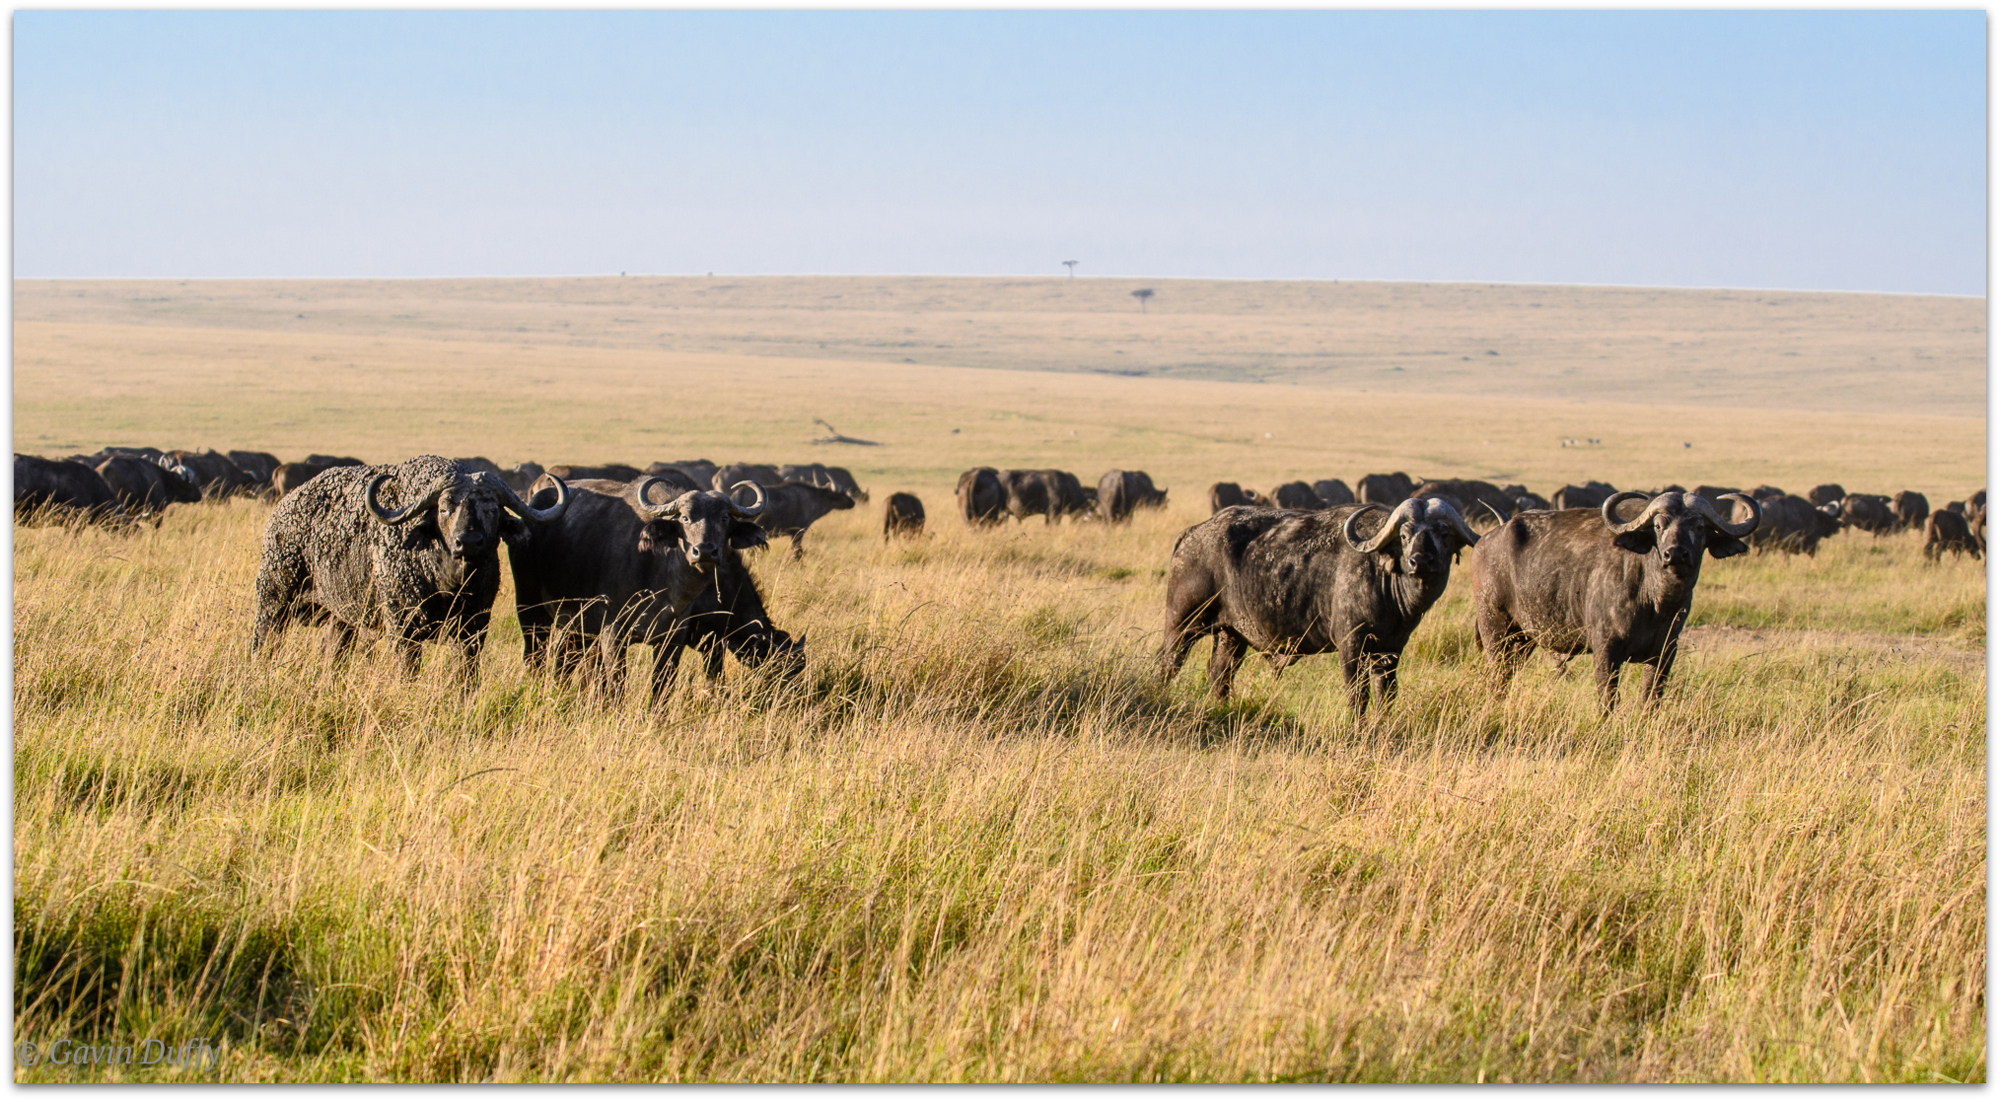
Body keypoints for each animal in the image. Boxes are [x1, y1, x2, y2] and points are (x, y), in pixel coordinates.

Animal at [254, 458, 572, 680]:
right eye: (444, 508)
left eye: (492, 508)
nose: (468, 542)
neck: (448, 581)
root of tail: (283, 510)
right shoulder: (403, 627)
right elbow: (407, 671)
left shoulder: (473, 627)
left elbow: (466, 675)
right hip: (273, 600)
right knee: (264, 642)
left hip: (341, 617)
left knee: (333, 651)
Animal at [1160, 498, 1488, 716]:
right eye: (1405, 535)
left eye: (1443, 533)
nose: (1420, 561)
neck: (1384, 579)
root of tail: (1193, 533)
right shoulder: (1351, 644)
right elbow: (1358, 694)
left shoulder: (1391, 650)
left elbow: (1386, 693)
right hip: (1182, 624)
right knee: (1168, 663)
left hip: (1232, 635)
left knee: (1220, 675)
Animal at [1464, 494, 1760, 716]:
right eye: (1659, 526)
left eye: (1699, 527)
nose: (1675, 554)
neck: (1656, 602)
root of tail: (1484, 542)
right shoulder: (1605, 648)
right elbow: (1608, 699)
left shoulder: (1665, 652)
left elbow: (1651, 697)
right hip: (1495, 630)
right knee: (1497, 676)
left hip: (1525, 639)